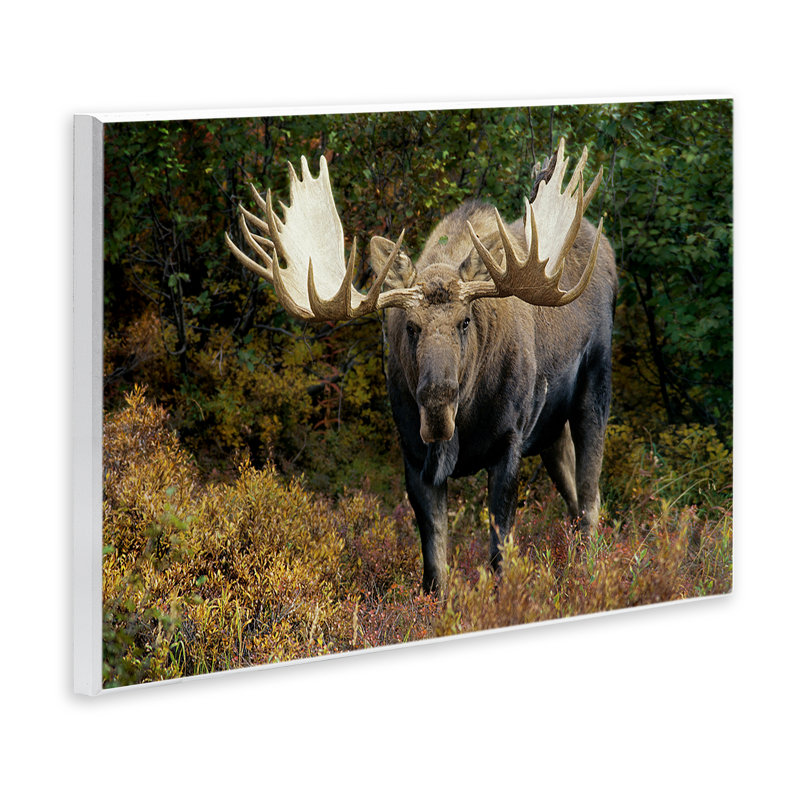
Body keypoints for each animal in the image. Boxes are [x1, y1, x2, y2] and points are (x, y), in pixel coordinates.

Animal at [225, 138, 617, 594]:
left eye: (465, 321)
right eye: (411, 327)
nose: (437, 400)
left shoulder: (509, 442)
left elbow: (500, 553)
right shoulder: (414, 456)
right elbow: (434, 567)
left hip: (595, 382)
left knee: (591, 498)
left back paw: (590, 571)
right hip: (550, 429)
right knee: (574, 493)